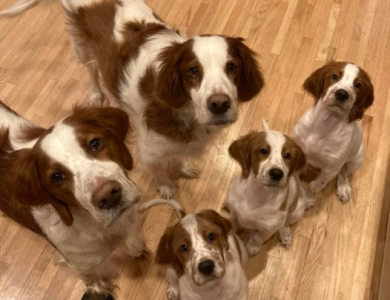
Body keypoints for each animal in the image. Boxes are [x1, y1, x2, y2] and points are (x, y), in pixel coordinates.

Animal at [0, 0, 266, 199]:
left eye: (232, 67)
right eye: (193, 71)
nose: (219, 104)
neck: (186, 112)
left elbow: (177, 155)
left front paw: (181, 167)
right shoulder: (149, 148)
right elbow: (158, 168)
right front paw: (166, 187)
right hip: (82, 47)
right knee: (92, 69)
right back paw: (96, 93)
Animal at [225, 120, 308, 256]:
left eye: (287, 155)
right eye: (263, 151)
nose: (277, 174)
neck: (259, 193)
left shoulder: (269, 228)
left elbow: (258, 237)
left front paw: (252, 248)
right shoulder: (234, 214)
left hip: (297, 211)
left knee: (285, 222)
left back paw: (285, 234)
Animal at [294, 61, 374, 206]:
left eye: (358, 85)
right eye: (335, 76)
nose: (342, 94)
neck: (324, 124)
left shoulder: (330, 169)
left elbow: (315, 185)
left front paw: (307, 199)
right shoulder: (299, 152)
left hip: (356, 159)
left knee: (344, 172)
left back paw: (344, 188)